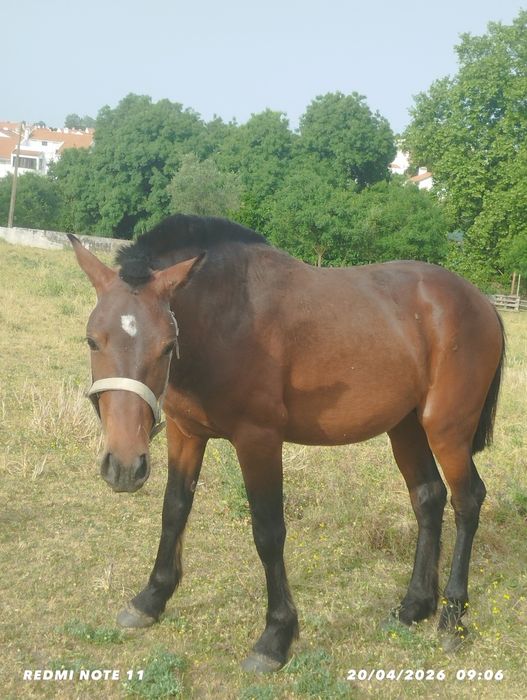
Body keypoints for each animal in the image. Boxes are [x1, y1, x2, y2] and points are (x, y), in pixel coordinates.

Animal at [68, 214, 504, 672]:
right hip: (405, 428)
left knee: (468, 501)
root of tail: (480, 300)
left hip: (446, 430)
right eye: (92, 340)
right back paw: (414, 606)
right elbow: (174, 510)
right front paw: (151, 598)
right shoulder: (184, 433)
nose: (123, 465)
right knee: (428, 498)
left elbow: (268, 531)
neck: (228, 317)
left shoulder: (258, 440)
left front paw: (276, 635)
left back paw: (453, 617)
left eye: (167, 345)